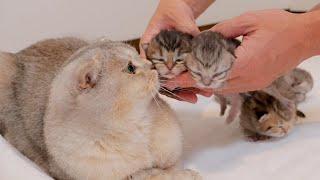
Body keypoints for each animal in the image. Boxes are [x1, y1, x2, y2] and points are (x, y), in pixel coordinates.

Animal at [0, 38, 201, 180]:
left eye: (138, 54)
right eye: (130, 68)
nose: (151, 65)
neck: (135, 127)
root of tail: (17, 53)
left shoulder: (173, 157)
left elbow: (168, 169)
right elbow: (149, 175)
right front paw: (185, 175)